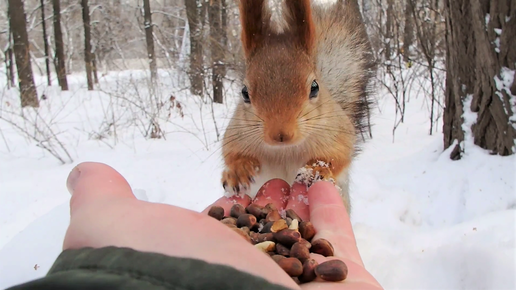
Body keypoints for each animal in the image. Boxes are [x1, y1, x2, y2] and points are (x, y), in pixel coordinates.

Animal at [219, 0, 374, 213]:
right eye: (244, 93)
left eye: (315, 87)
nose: (281, 134)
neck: (285, 151)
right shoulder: (237, 132)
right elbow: (231, 152)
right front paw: (238, 170)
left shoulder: (338, 131)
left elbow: (339, 155)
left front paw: (316, 169)